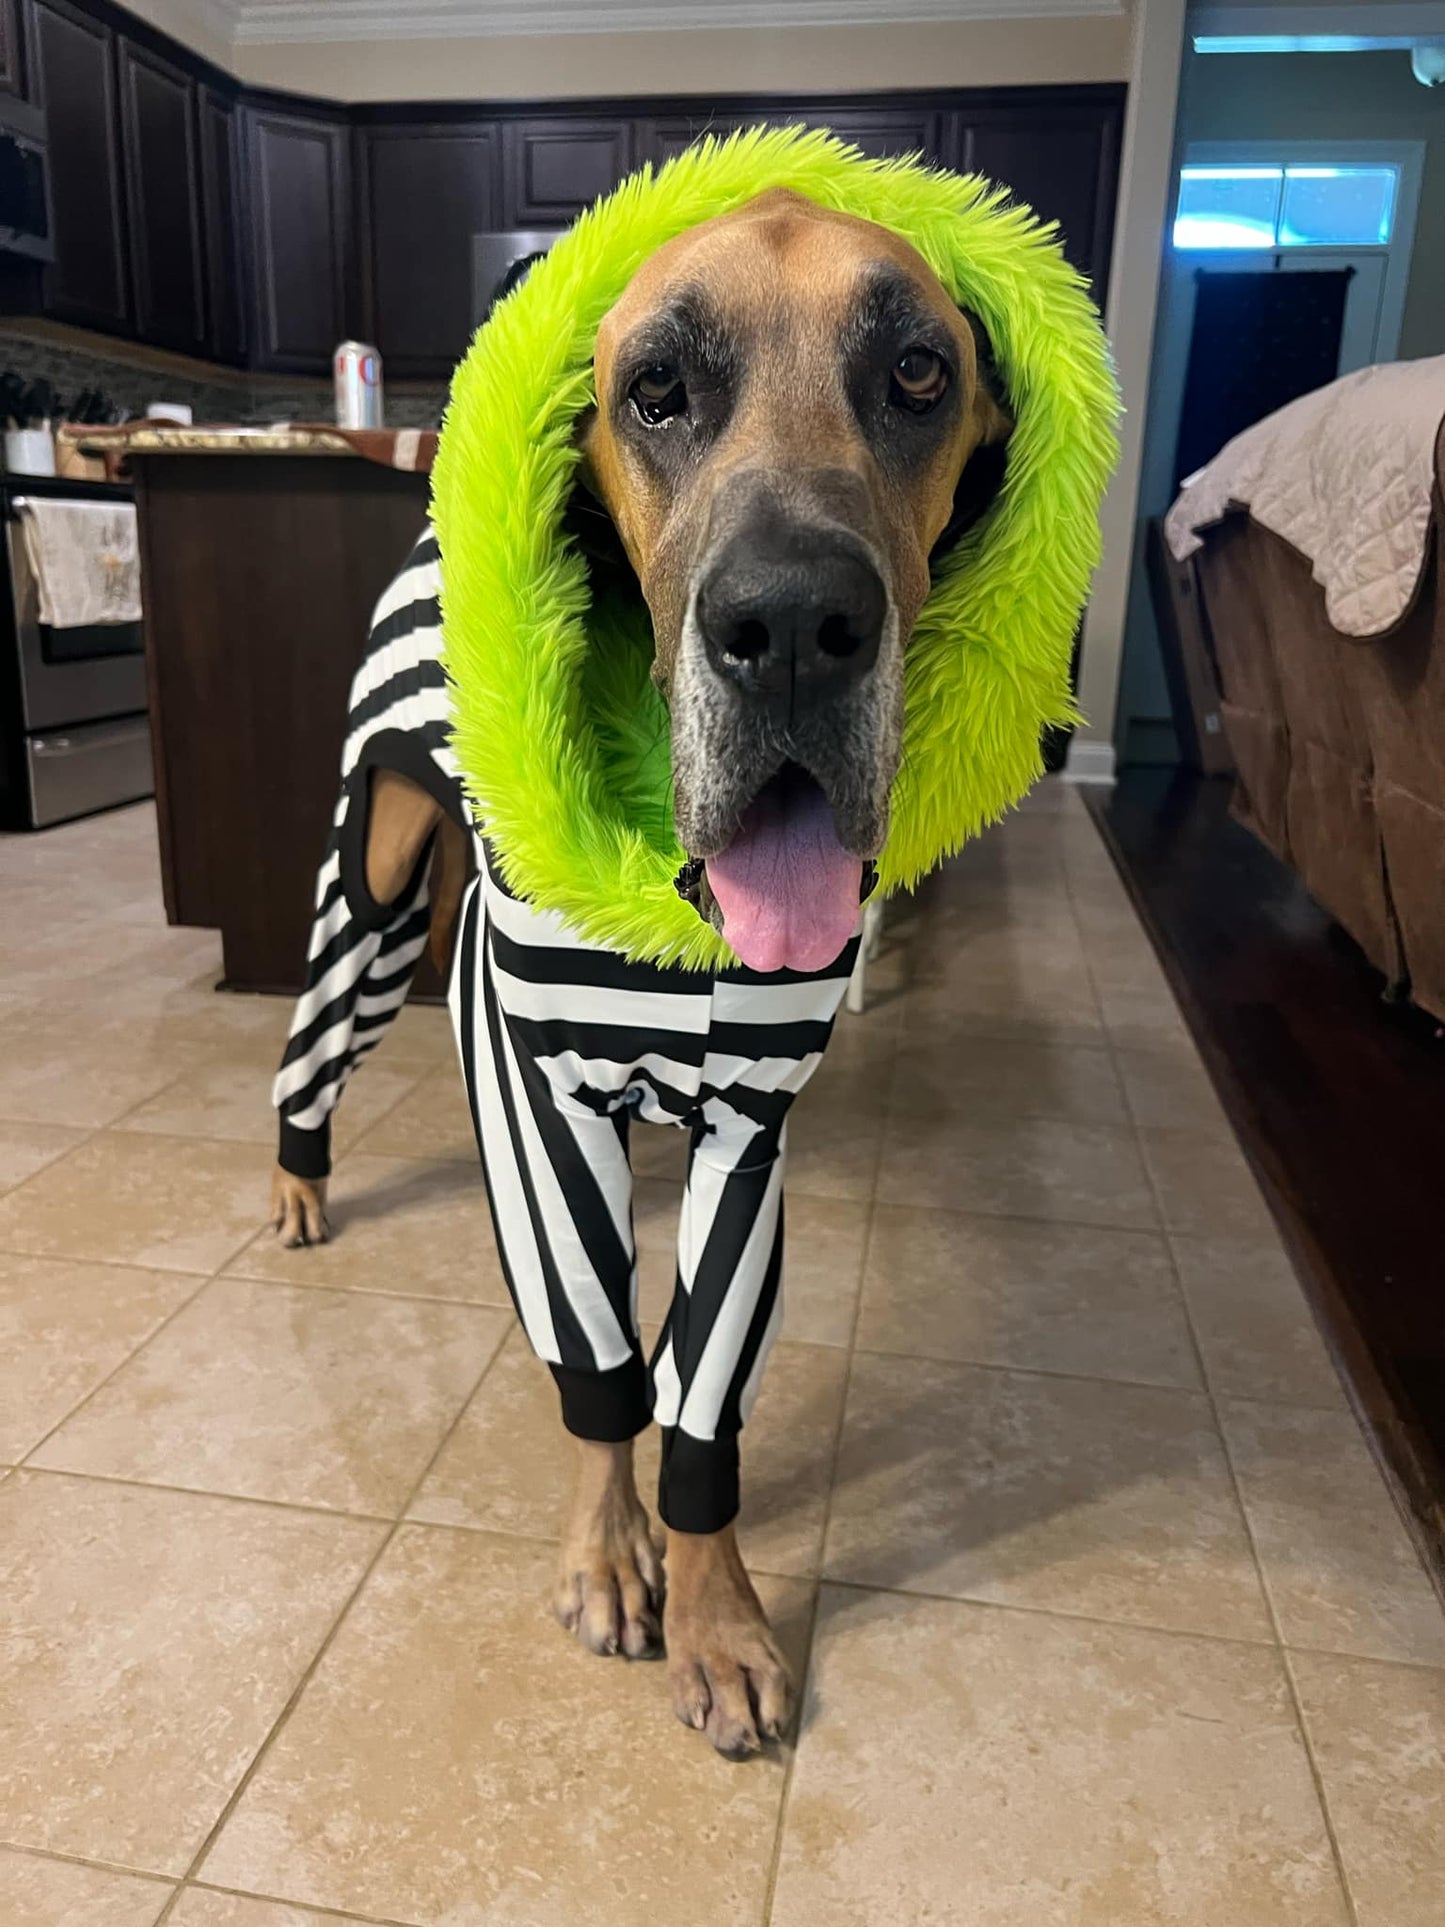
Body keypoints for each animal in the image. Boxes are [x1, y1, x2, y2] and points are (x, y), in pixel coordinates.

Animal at [273, 187, 1017, 1757]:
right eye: (655, 390)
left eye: (918, 372)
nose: (791, 627)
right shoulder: (538, 1105)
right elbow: (599, 1359)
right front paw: (612, 1550)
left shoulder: (750, 1134)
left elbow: (698, 1383)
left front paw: (716, 1612)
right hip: (369, 889)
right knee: (310, 1035)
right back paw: (297, 1177)